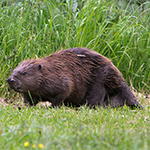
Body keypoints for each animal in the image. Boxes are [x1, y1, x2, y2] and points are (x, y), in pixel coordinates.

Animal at [7, 47, 143, 109]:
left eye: (24, 73)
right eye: (14, 71)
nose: (10, 80)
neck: (50, 71)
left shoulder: (62, 79)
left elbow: (64, 92)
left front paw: (50, 106)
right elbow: (29, 99)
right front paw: (24, 106)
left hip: (101, 80)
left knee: (95, 99)